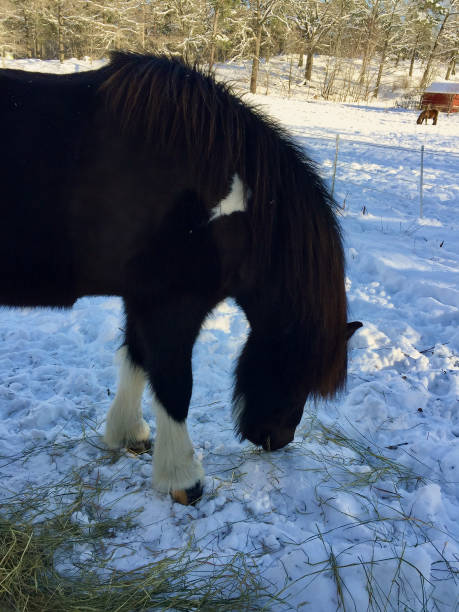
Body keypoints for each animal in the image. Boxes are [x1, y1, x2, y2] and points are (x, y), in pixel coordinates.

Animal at [1, 53, 364, 502]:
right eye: (302, 374)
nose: (278, 440)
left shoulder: (141, 298)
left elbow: (136, 359)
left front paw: (129, 435)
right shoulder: (174, 304)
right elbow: (174, 385)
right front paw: (183, 479)